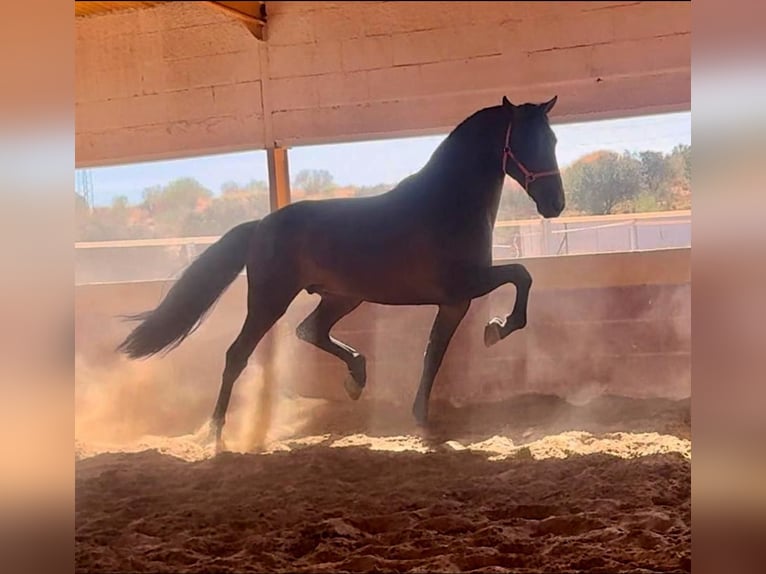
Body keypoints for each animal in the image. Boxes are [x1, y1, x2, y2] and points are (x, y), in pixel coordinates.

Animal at [117, 97, 568, 452]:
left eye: (552, 141)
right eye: (525, 141)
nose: (555, 204)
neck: (448, 205)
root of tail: (260, 225)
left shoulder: (454, 301)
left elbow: (435, 353)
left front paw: (422, 417)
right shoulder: (463, 287)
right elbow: (520, 276)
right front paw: (498, 329)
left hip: (342, 296)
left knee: (310, 330)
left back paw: (356, 377)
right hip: (269, 301)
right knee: (237, 355)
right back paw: (215, 435)